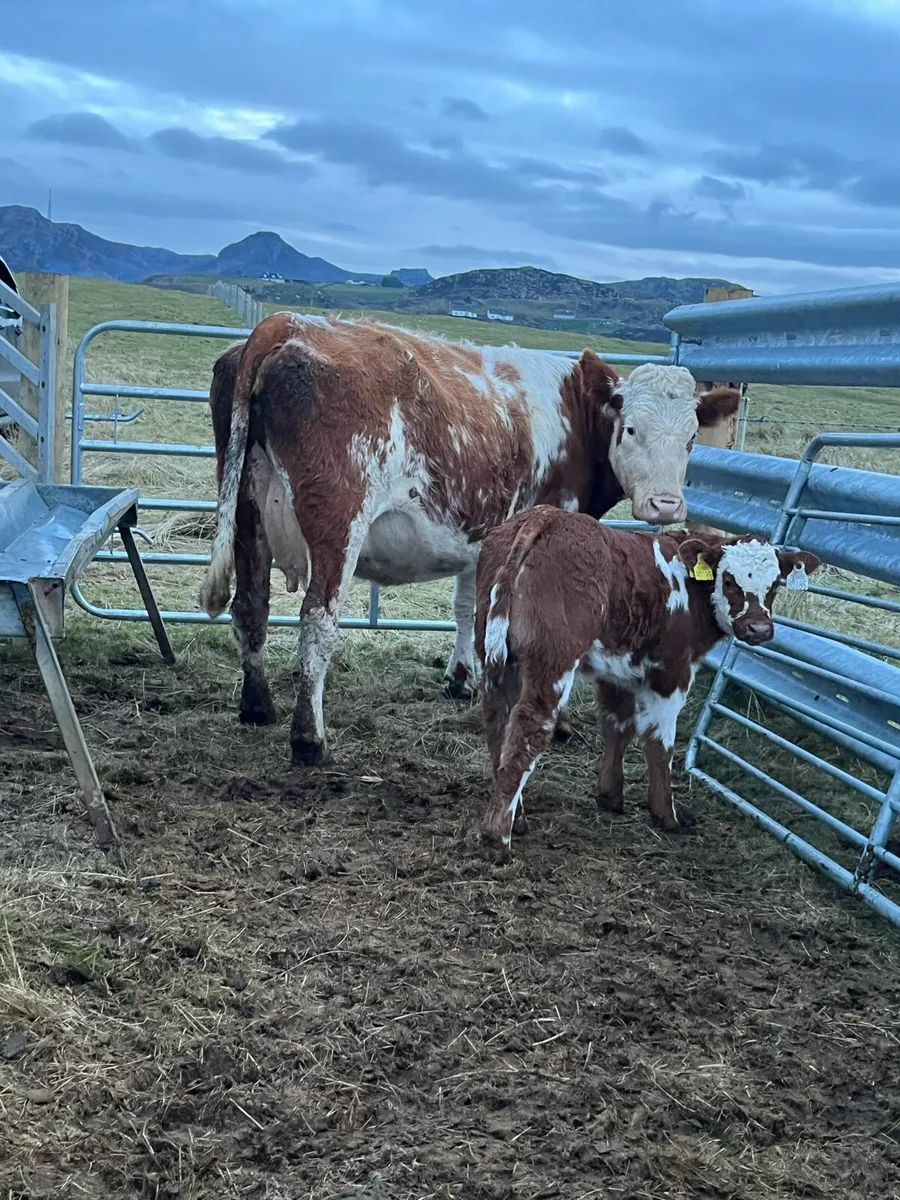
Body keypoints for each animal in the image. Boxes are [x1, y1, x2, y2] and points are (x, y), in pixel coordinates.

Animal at [199, 311, 740, 767]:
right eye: (629, 429)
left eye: (692, 438)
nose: (665, 505)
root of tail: (287, 323)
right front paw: (554, 719)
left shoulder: (482, 540)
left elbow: (469, 610)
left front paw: (461, 681)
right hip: (339, 521)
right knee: (318, 621)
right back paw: (309, 739)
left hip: (246, 511)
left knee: (251, 607)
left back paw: (257, 707)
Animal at [474, 505, 820, 864]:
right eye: (728, 580)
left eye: (776, 583)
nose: (759, 629)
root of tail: (546, 516)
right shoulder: (671, 671)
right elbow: (659, 742)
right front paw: (666, 814)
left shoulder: (616, 669)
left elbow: (617, 725)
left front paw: (610, 796)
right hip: (553, 661)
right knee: (528, 730)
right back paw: (497, 838)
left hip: (495, 654)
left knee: (498, 723)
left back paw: (517, 817)